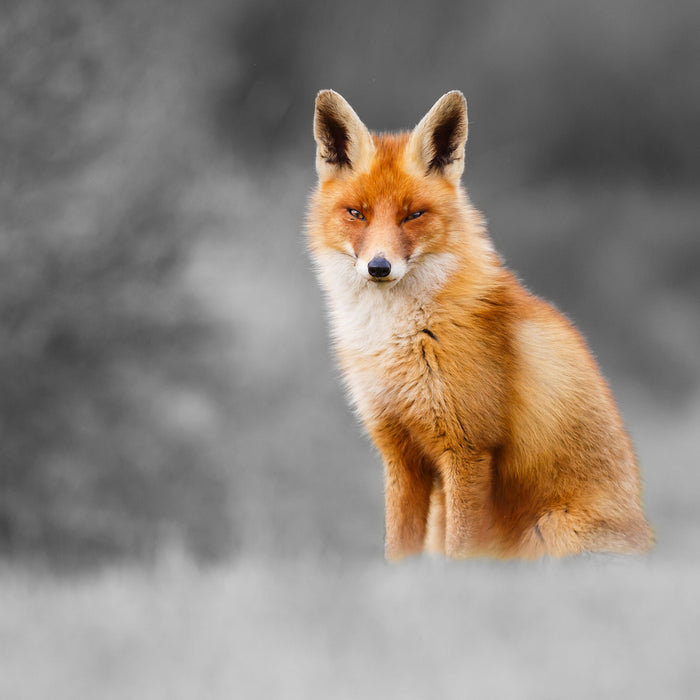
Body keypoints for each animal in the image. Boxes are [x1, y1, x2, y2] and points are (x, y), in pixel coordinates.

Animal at [306, 90, 652, 560]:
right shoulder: (400, 454)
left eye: (413, 215)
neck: (398, 339)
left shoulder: (467, 449)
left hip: (551, 531)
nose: (379, 267)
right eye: (356, 213)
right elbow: (397, 552)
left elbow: (461, 555)